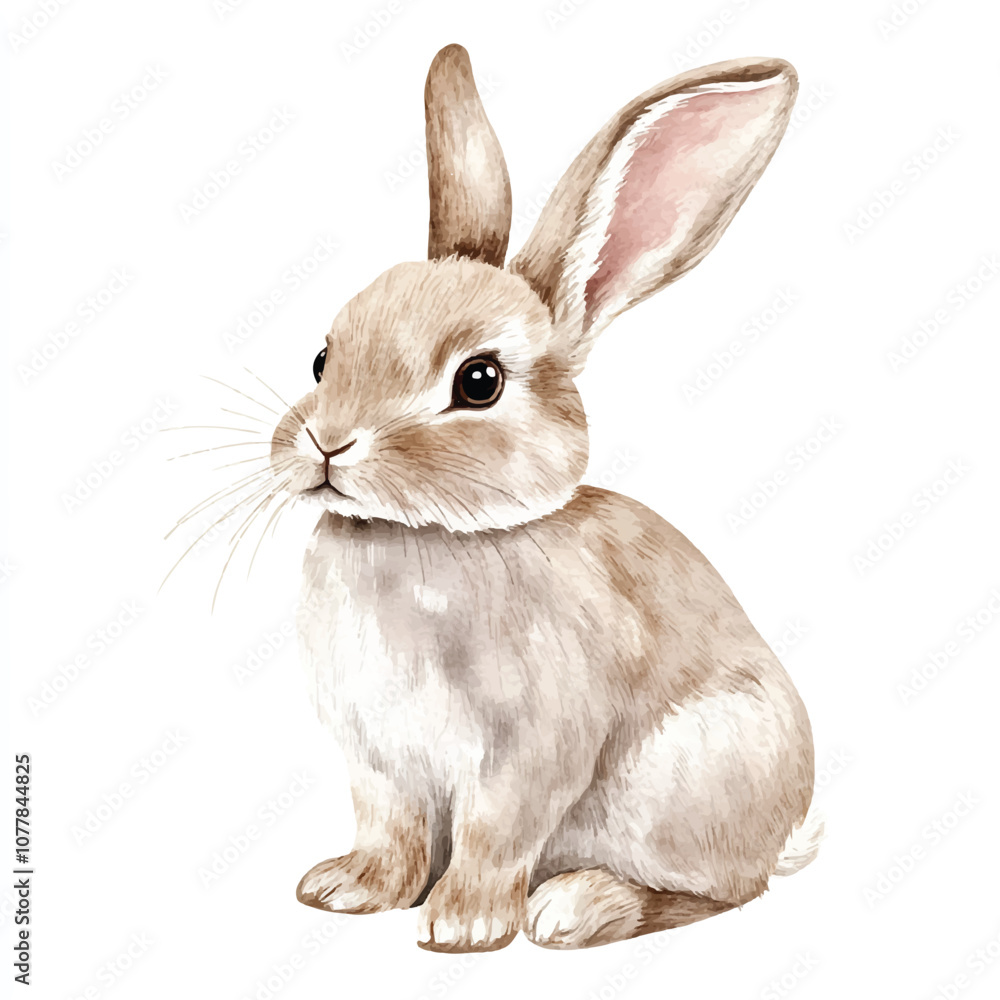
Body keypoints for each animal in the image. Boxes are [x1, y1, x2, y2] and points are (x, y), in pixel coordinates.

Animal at [267, 43, 820, 952]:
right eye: (322, 358)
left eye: (479, 381)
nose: (327, 443)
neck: (427, 536)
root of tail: (789, 832)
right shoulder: (379, 759)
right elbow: (391, 830)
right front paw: (349, 892)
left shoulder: (529, 755)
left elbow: (496, 836)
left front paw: (460, 928)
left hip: (686, 777)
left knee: (722, 892)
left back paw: (576, 906)